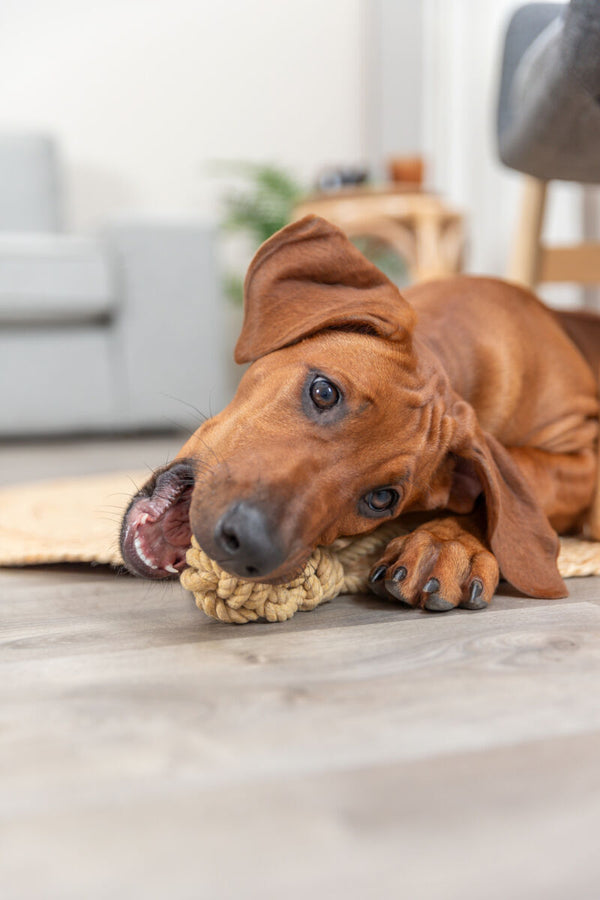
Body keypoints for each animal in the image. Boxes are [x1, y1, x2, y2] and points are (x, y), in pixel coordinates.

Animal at [120, 217, 600, 612]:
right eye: (323, 391)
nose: (251, 546)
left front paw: (447, 546)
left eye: (381, 499)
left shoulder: (581, 455)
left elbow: (506, 479)